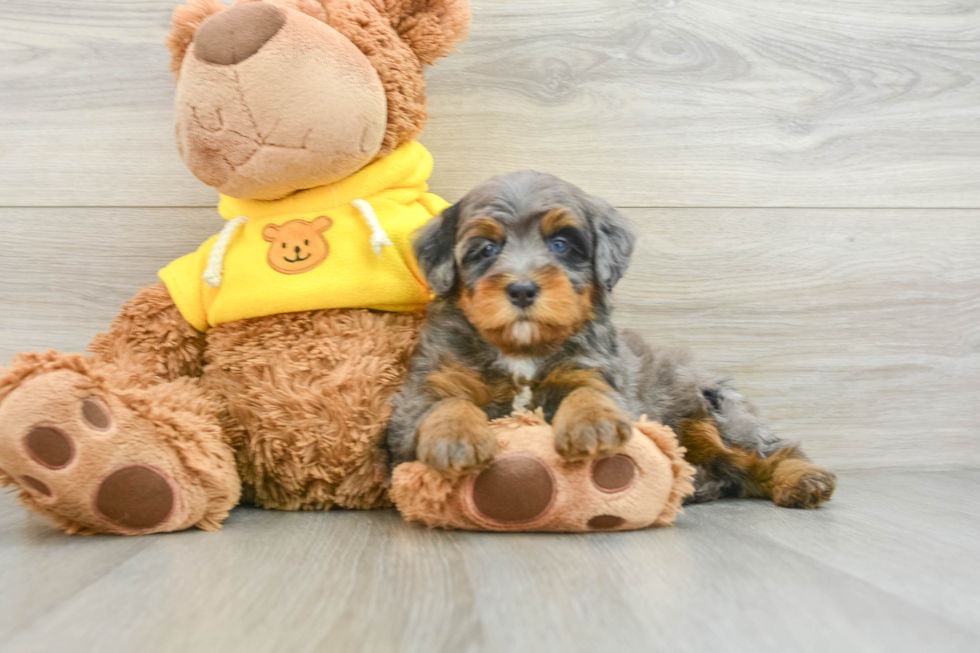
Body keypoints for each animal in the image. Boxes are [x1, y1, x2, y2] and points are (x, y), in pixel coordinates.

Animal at [386, 171, 840, 506]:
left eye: (561, 244)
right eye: (485, 249)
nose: (522, 290)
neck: (522, 350)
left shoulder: (594, 370)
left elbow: (590, 392)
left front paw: (594, 424)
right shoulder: (427, 386)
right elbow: (444, 403)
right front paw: (456, 438)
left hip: (713, 413)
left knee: (760, 453)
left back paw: (801, 480)